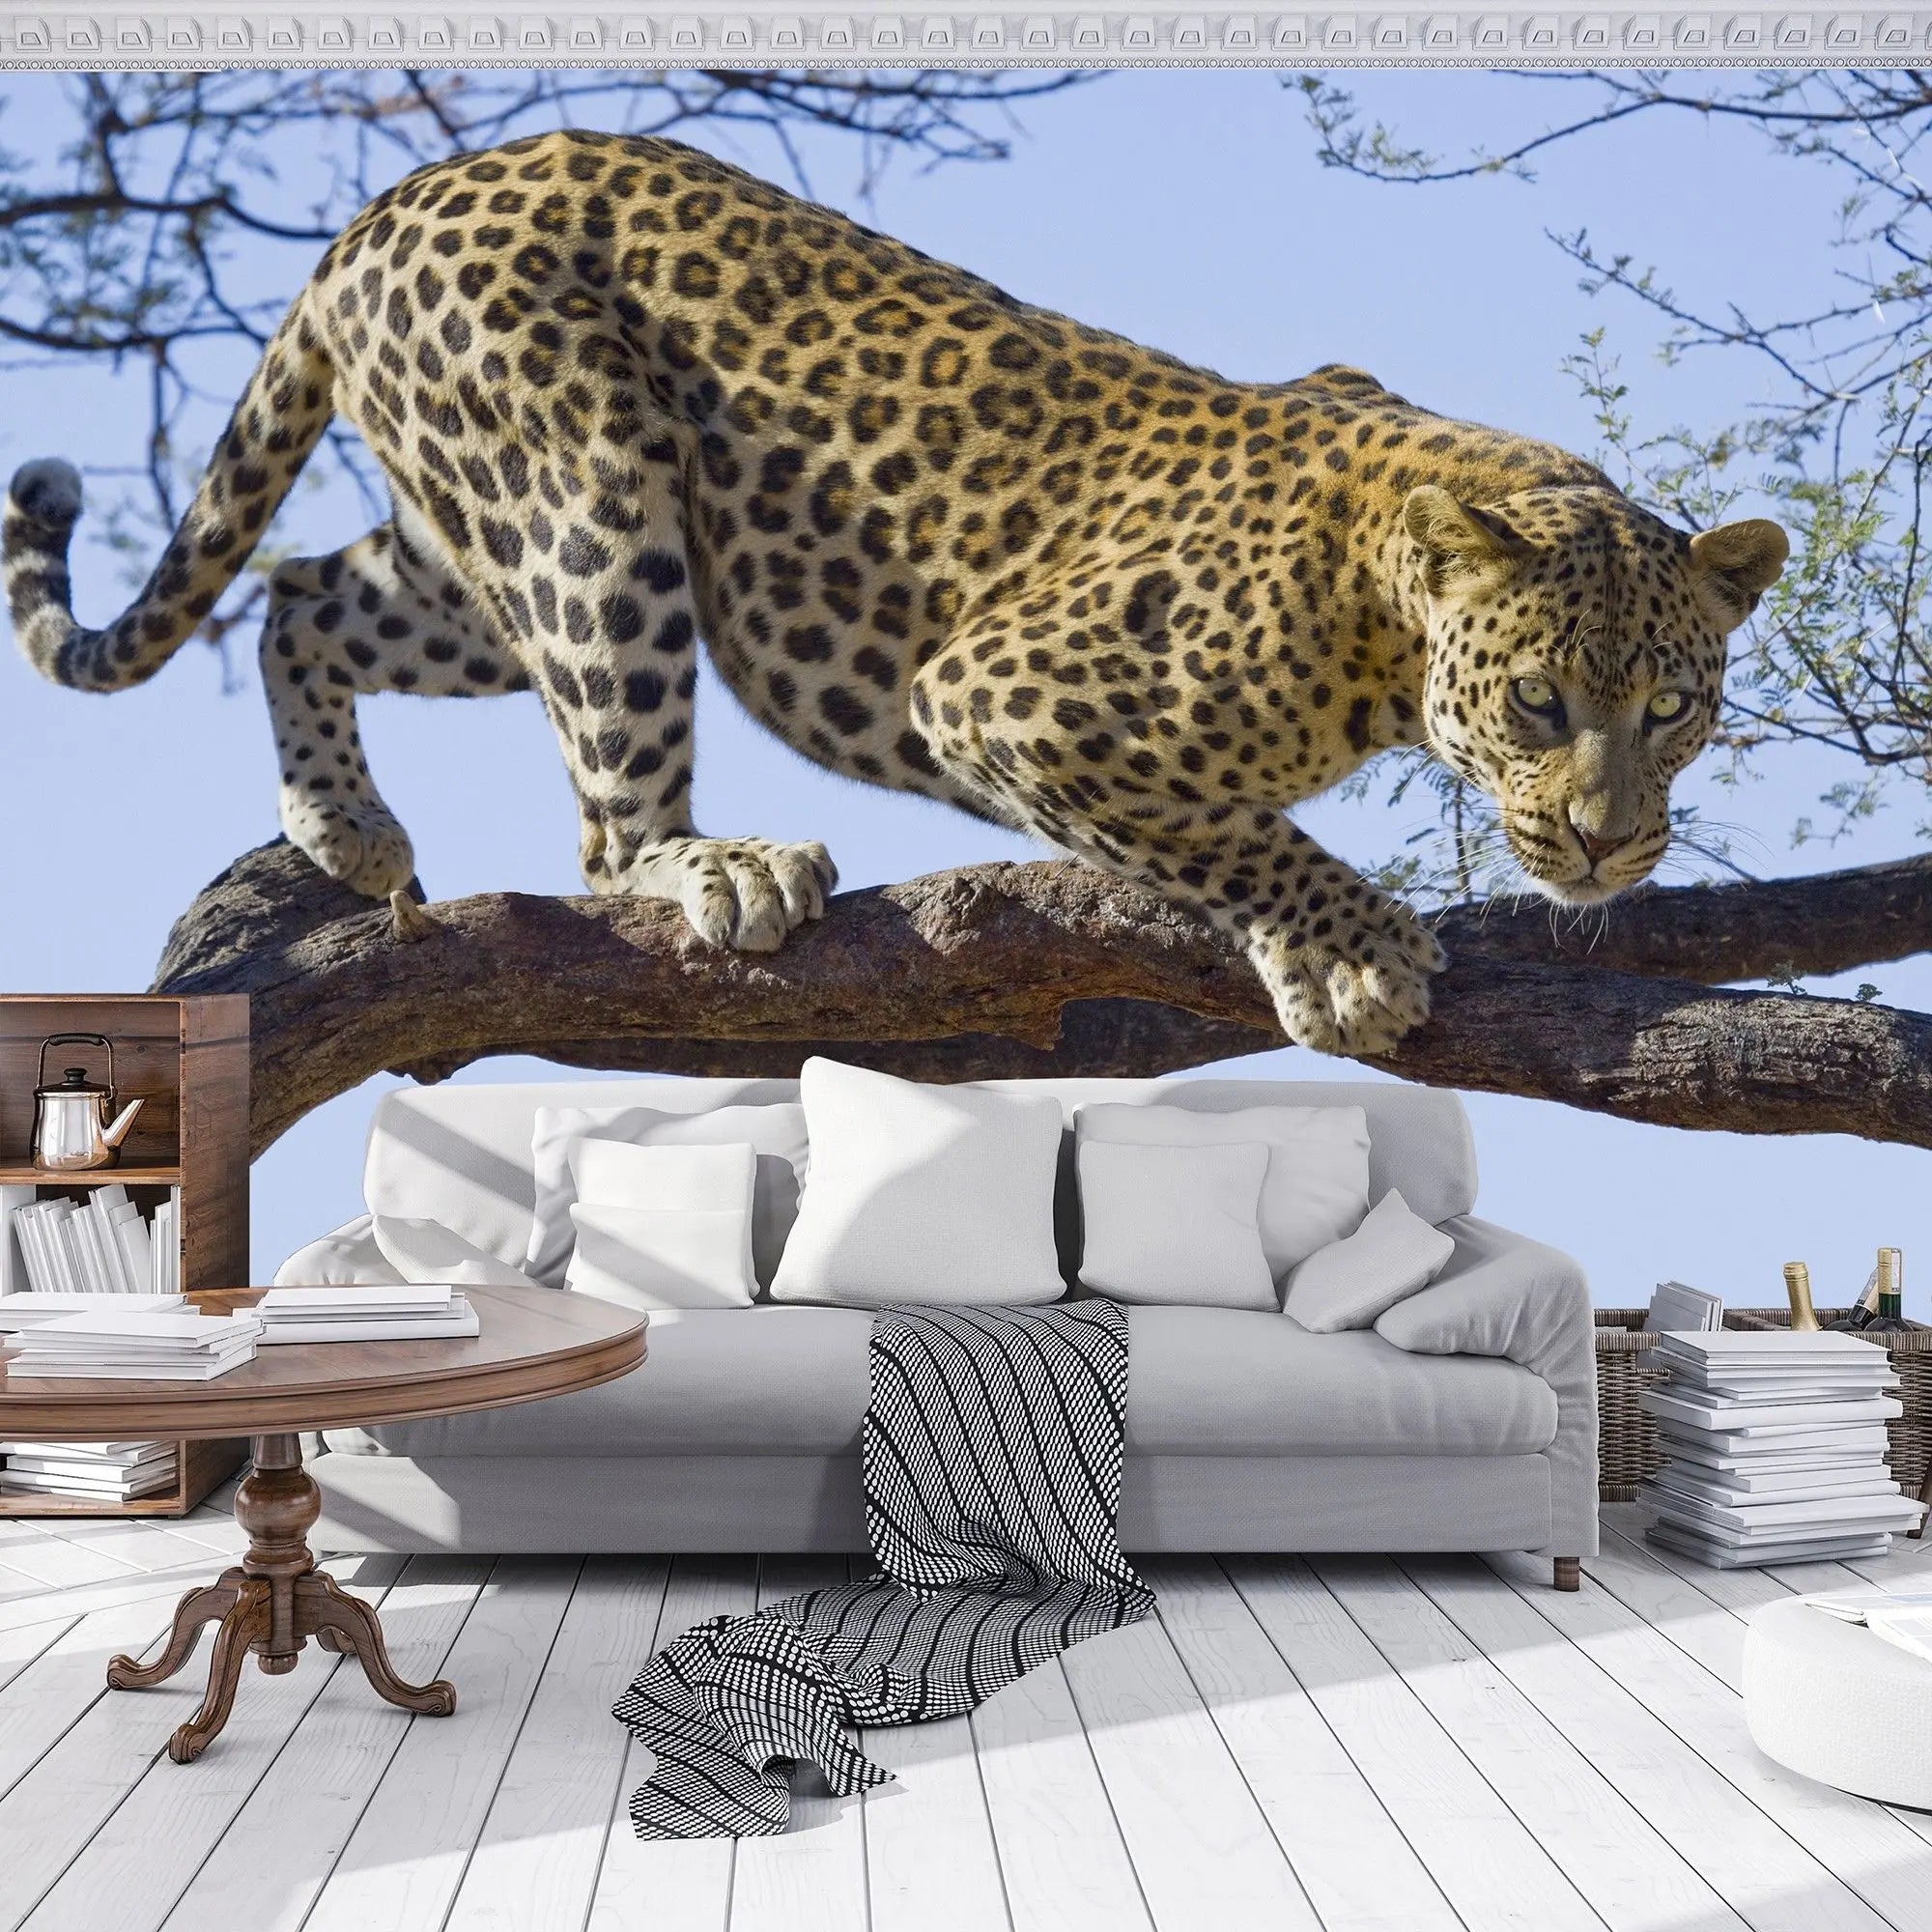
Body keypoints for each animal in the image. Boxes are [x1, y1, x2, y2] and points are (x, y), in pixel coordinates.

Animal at [3, 128, 1788, 1055]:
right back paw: (719, 868)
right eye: (1539, 701)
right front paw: (1346, 951)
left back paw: (347, 829)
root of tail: (391, 198)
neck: (1381, 623)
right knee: (605, 824)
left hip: (479, 547)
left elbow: (1224, 832)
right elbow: (1233, 829)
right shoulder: (1004, 695)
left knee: (302, 593)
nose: (1606, 844)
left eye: (1676, 708)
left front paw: (1317, 959)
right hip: (593, 500)